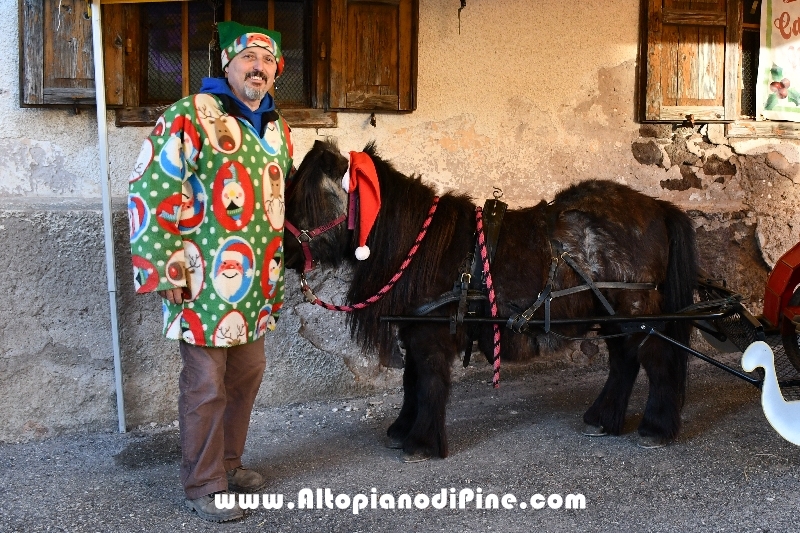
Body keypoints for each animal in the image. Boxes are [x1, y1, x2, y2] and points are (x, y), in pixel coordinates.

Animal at [284, 139, 696, 460]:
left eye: (305, 201)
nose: (283, 253)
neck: (421, 245)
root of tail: (657, 206)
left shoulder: (431, 332)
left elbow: (428, 379)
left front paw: (421, 442)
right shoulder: (415, 327)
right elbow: (410, 379)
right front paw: (402, 429)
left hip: (634, 308)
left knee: (656, 359)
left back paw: (656, 428)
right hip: (611, 312)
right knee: (624, 361)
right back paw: (603, 418)